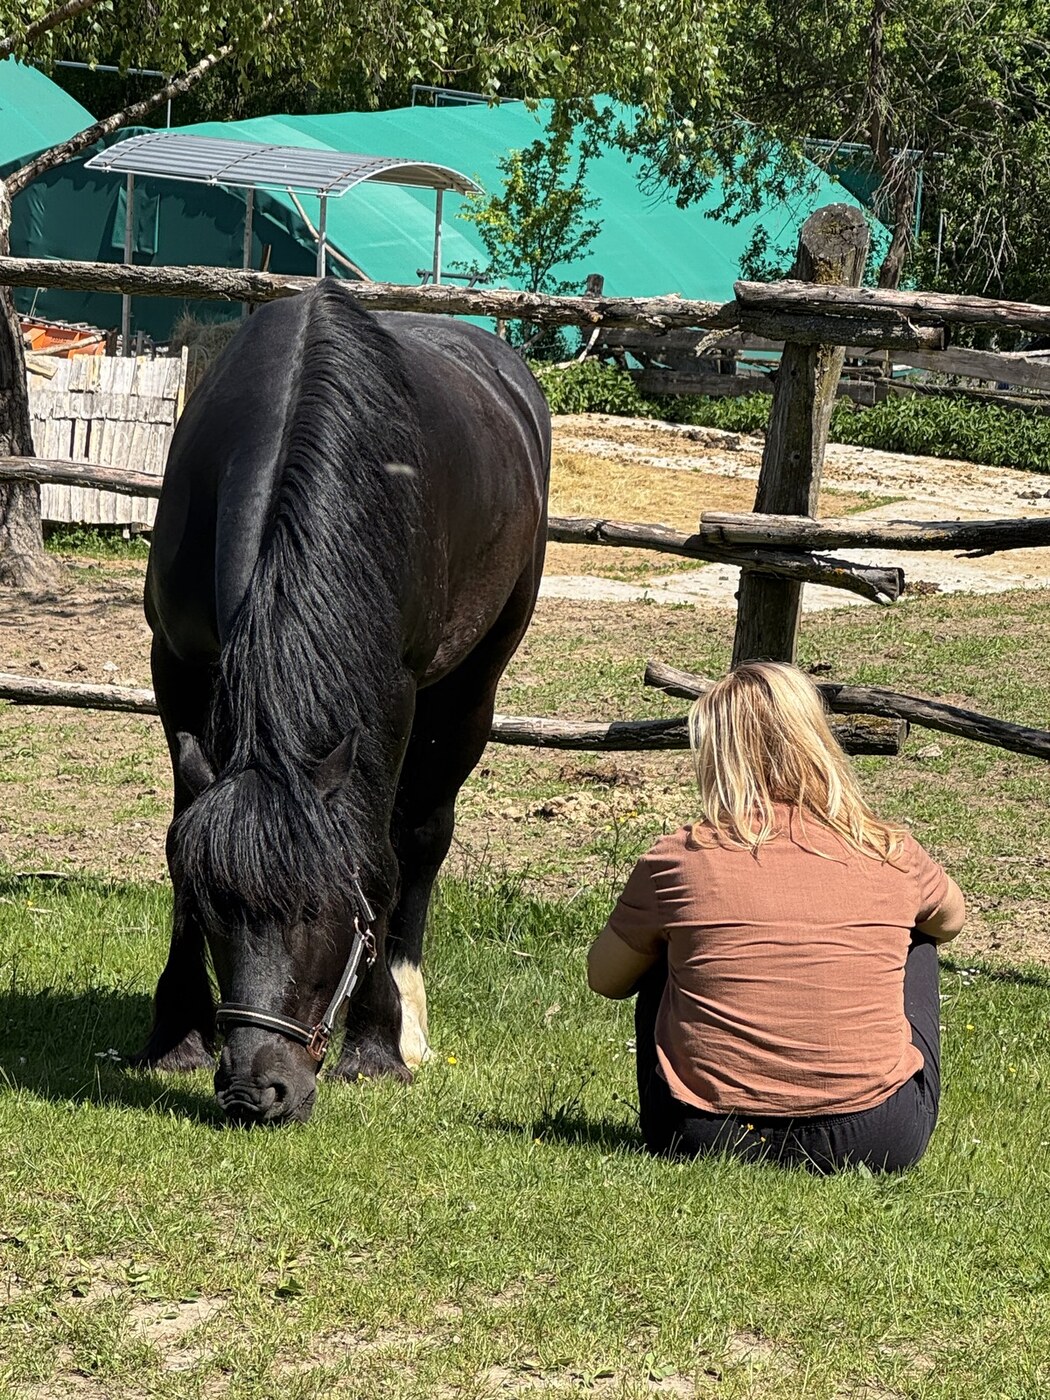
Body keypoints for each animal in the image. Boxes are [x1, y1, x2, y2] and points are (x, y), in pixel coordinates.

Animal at [137, 280, 551, 1125]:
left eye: (321, 910)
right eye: (219, 909)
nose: (258, 1088)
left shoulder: (390, 693)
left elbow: (382, 859)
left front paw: (376, 1047)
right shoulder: (178, 664)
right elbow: (178, 836)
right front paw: (175, 1033)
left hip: (469, 689)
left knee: (423, 837)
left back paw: (410, 1023)